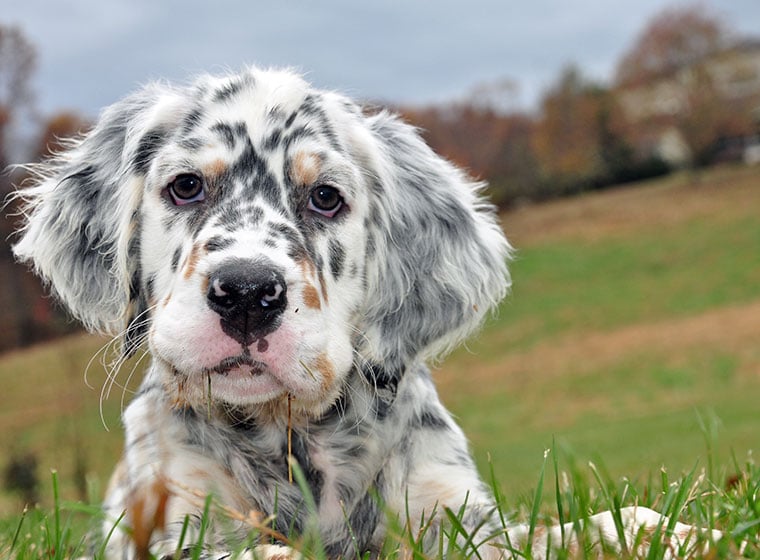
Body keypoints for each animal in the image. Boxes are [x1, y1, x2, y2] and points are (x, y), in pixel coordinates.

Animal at [14, 68, 720, 556]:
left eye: (326, 198)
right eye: (185, 186)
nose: (247, 292)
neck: (294, 436)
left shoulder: (458, 515)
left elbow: (582, 527)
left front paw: (678, 533)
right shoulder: (173, 516)